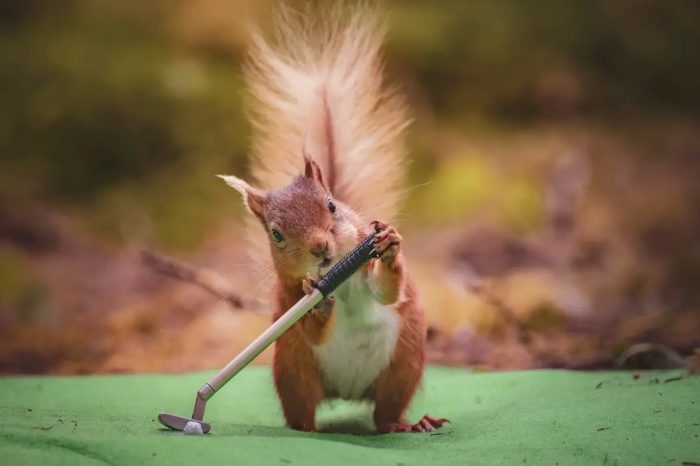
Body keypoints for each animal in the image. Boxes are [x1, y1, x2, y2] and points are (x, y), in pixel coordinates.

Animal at [218, 4, 447, 434]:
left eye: (332, 206)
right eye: (276, 234)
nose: (321, 247)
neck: (340, 281)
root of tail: (347, 393)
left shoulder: (367, 277)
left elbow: (388, 292)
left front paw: (390, 247)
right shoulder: (289, 296)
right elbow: (314, 330)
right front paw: (318, 301)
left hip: (403, 366)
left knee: (385, 416)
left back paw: (411, 424)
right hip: (293, 373)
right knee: (304, 411)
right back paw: (304, 430)